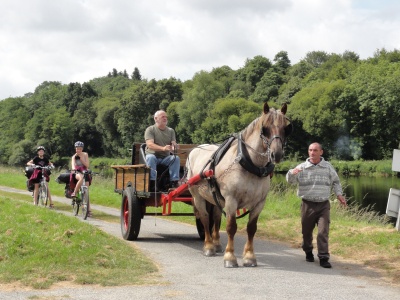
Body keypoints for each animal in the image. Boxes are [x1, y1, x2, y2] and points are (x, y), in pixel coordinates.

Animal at [186, 102, 292, 268]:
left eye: (286, 128)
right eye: (265, 127)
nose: (277, 154)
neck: (251, 165)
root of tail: (195, 149)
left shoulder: (259, 203)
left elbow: (251, 228)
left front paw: (249, 256)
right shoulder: (231, 200)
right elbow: (231, 227)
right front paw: (230, 257)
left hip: (214, 197)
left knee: (216, 217)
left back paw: (217, 244)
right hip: (197, 196)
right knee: (204, 218)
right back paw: (209, 246)